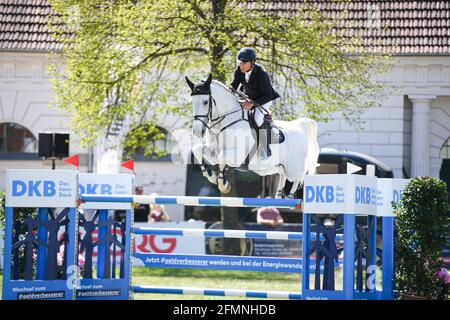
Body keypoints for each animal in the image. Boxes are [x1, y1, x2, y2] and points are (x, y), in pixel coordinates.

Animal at [185, 75, 318, 199]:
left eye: (205, 102)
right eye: (192, 101)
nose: (197, 131)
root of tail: (298, 127)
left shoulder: (237, 155)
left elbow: (221, 158)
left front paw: (223, 184)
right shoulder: (213, 152)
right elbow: (197, 150)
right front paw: (212, 176)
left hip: (293, 168)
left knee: (300, 176)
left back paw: (290, 197)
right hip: (274, 167)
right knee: (282, 175)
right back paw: (279, 196)